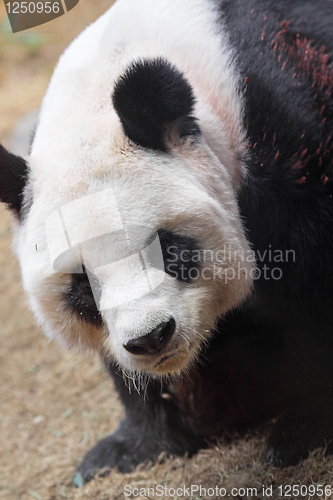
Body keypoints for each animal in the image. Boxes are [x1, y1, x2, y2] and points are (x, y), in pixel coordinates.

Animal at [0, 0, 332, 482]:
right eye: (83, 285)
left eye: (166, 248)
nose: (152, 338)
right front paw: (135, 446)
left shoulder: (286, 136)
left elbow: (313, 285)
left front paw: (305, 428)